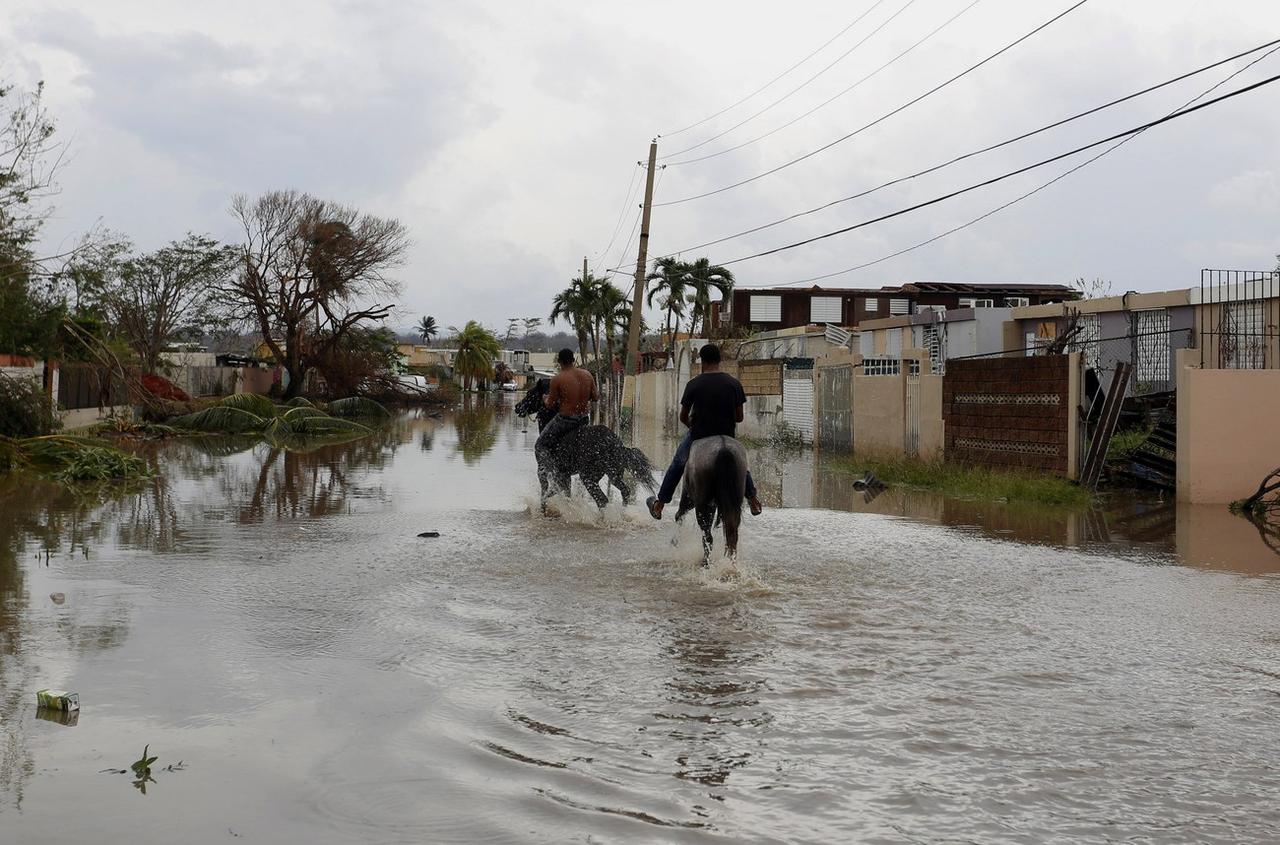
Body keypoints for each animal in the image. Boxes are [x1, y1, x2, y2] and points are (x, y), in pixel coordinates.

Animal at [514, 381, 655, 509]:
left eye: (529, 393)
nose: (517, 407)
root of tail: (617, 445)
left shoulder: (544, 471)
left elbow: (545, 494)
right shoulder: (564, 476)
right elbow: (565, 494)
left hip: (588, 477)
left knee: (602, 500)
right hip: (612, 475)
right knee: (624, 492)